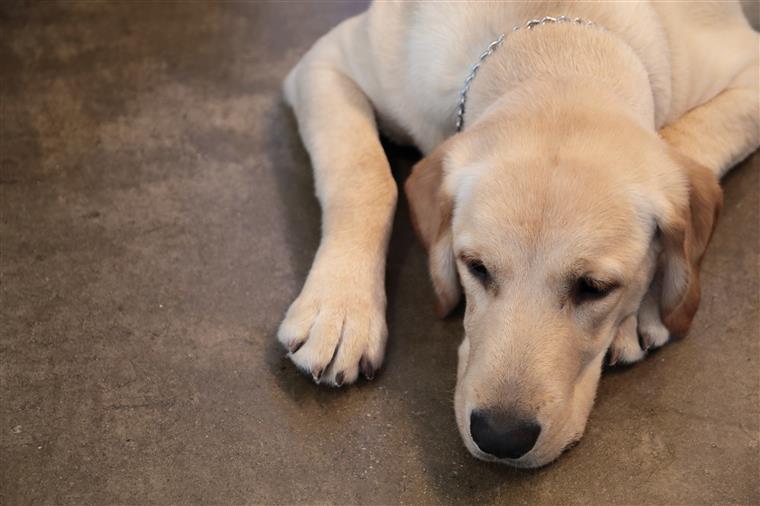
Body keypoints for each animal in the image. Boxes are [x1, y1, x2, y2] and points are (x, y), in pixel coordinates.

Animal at [280, 0, 760, 466]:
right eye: (476, 267)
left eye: (595, 287)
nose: (500, 436)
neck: (556, 46)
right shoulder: (326, 63)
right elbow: (365, 174)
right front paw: (340, 309)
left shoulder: (748, 70)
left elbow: (681, 138)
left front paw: (645, 306)